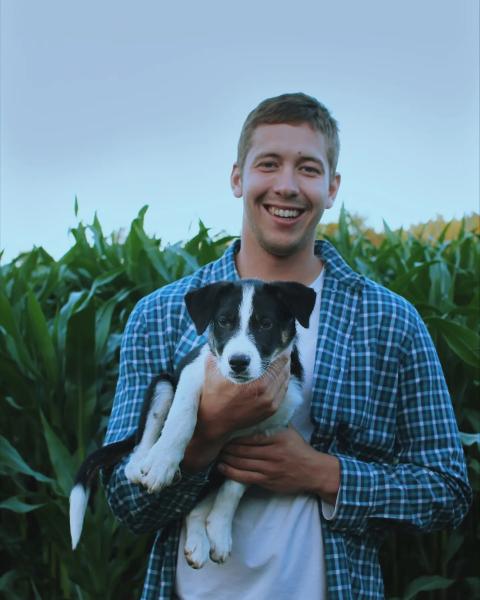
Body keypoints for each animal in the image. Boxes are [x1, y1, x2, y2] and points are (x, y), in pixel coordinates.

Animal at [68, 278, 316, 568]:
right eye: (224, 321)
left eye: (265, 323)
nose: (238, 362)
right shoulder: (194, 372)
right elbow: (181, 418)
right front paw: (162, 464)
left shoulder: (265, 433)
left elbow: (234, 487)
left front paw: (220, 530)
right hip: (162, 385)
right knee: (140, 446)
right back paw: (144, 465)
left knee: (197, 505)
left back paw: (201, 541)